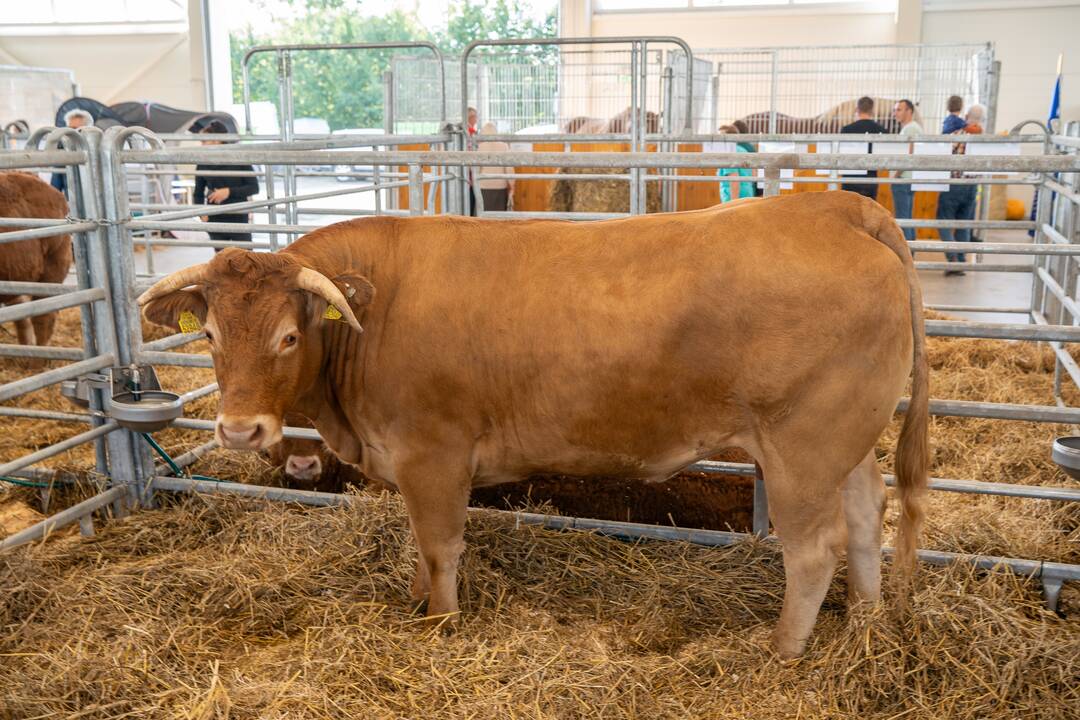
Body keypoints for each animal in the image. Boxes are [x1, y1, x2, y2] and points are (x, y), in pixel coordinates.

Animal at [139, 191, 933, 660]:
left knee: (814, 549)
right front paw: (421, 605)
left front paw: (441, 622)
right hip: (845, 444)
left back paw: (781, 651)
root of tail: (833, 205)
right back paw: (863, 623)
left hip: (802, 448)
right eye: (208, 333)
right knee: (867, 514)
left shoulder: (433, 453)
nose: (240, 430)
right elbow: (423, 546)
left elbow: (440, 547)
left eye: (288, 338)